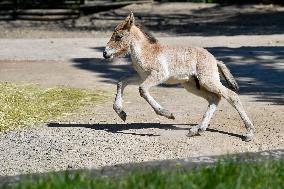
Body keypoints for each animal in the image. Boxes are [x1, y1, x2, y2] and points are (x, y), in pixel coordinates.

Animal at [103, 12, 255, 142]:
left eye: (119, 36)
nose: (105, 53)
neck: (146, 51)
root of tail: (214, 59)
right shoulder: (141, 76)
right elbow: (121, 82)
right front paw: (121, 113)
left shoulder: (159, 75)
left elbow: (142, 90)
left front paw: (167, 114)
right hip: (192, 85)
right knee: (214, 98)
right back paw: (197, 130)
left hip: (208, 80)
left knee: (232, 96)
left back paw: (249, 133)